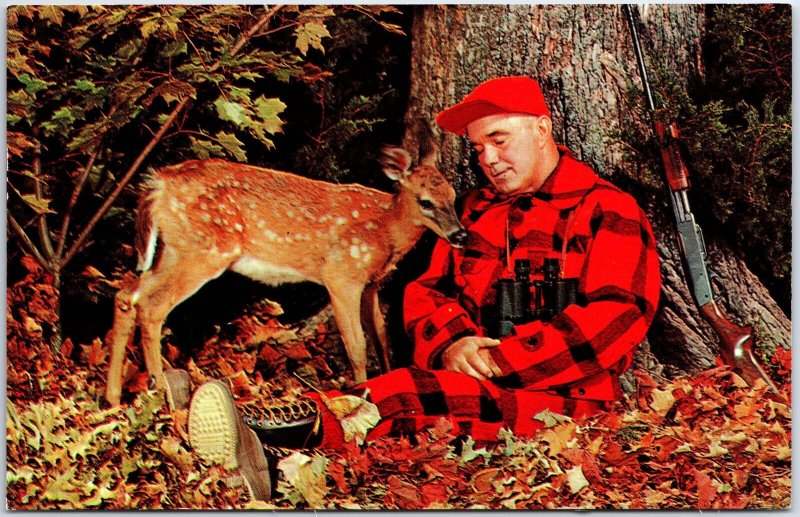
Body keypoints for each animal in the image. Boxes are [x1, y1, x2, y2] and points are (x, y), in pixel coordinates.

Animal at [106, 132, 468, 404]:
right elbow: (357, 344)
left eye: (453, 194)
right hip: (203, 250)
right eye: (425, 201)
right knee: (152, 306)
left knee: (127, 294)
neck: (386, 230)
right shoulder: (341, 276)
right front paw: (362, 394)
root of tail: (159, 183)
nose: (460, 234)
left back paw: (112, 397)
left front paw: (388, 376)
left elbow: (380, 336)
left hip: (173, 248)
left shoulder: (371, 284)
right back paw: (163, 397)